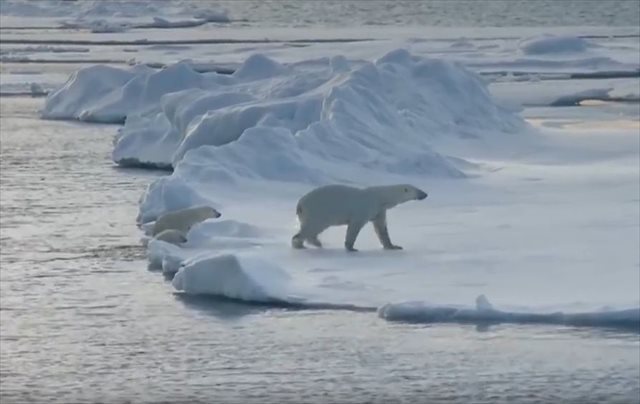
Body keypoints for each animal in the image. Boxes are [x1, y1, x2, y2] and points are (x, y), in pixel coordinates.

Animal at [292, 184, 428, 252]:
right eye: (417, 190)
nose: (425, 194)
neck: (380, 197)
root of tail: (300, 205)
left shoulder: (379, 211)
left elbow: (381, 229)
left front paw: (393, 246)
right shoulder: (364, 208)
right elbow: (354, 227)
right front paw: (351, 247)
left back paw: (314, 243)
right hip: (318, 211)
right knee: (312, 228)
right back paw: (300, 243)